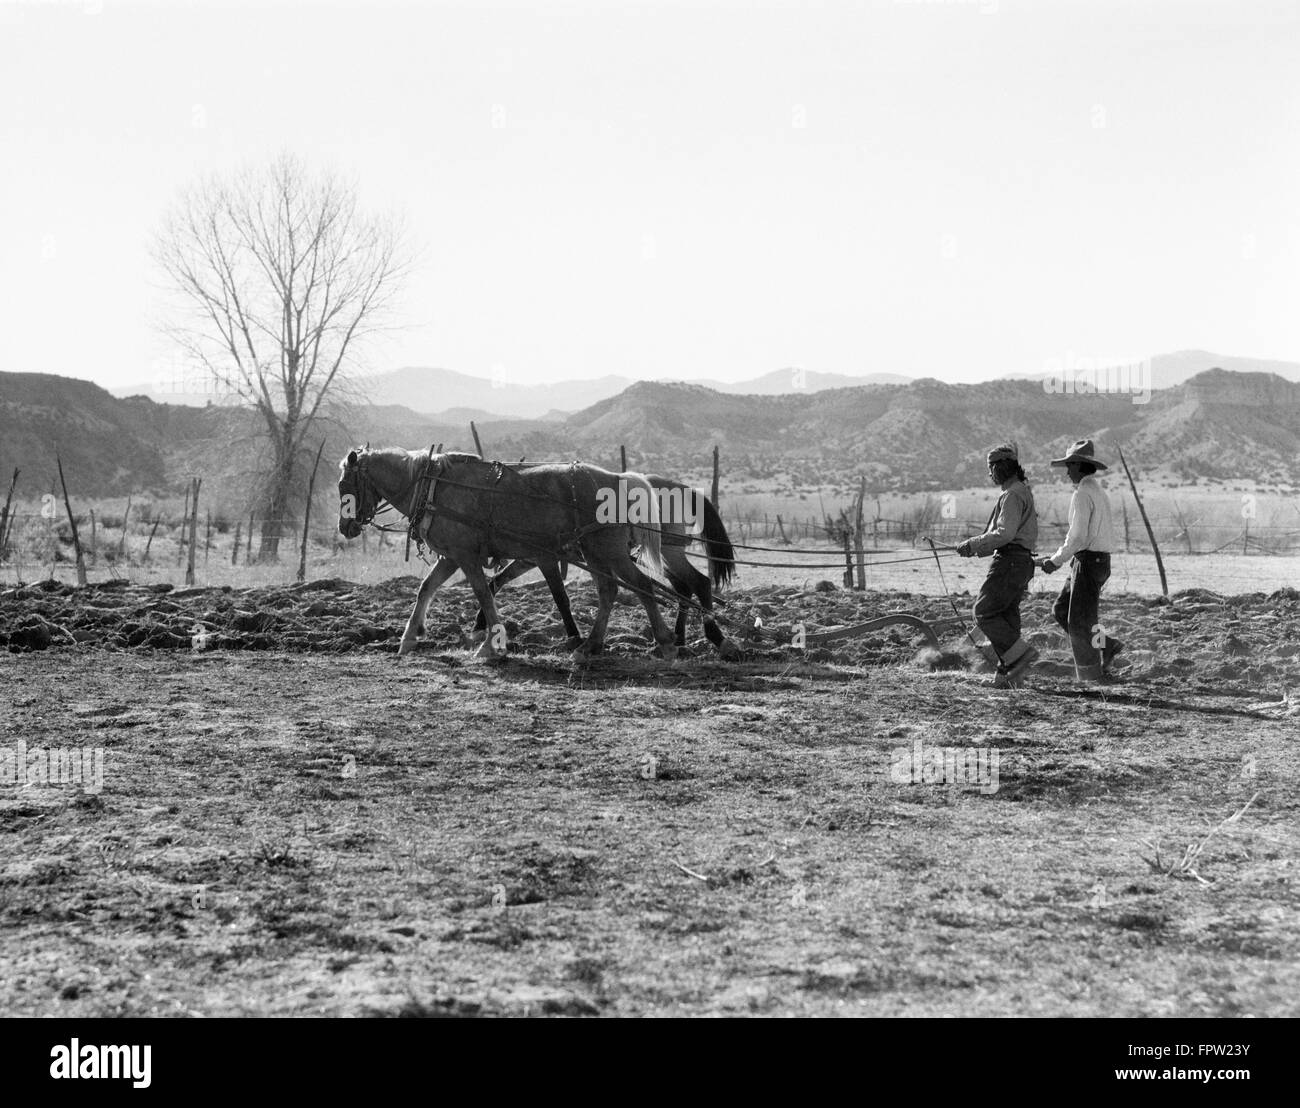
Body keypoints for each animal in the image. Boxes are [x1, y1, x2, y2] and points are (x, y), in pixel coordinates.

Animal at [335, 447, 681, 663]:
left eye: (344, 485)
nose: (345, 527)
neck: (434, 487)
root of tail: (617, 479)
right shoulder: (451, 556)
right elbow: (426, 589)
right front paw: (409, 637)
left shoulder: (466, 556)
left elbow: (483, 594)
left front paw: (490, 645)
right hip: (597, 554)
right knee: (609, 590)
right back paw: (592, 646)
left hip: (607, 552)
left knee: (640, 587)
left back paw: (663, 642)